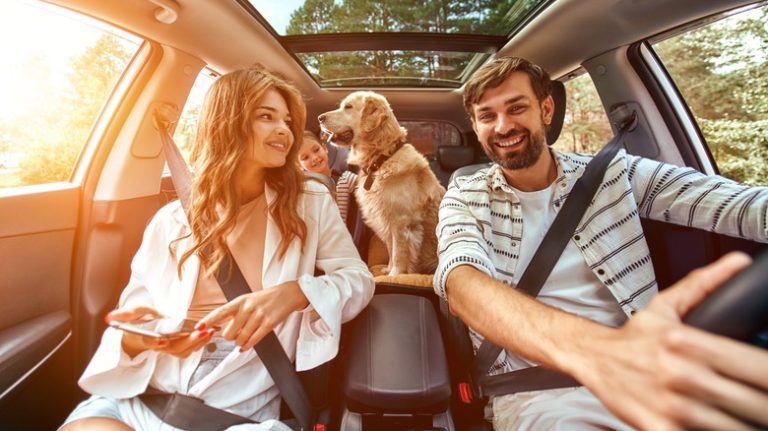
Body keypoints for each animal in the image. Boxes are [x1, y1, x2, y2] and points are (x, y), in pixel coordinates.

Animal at [318, 91, 448, 276]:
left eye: (348, 107)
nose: (319, 118)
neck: (381, 159)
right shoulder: (384, 218)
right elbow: (390, 249)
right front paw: (388, 269)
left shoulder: (400, 221)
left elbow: (398, 252)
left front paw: (395, 274)